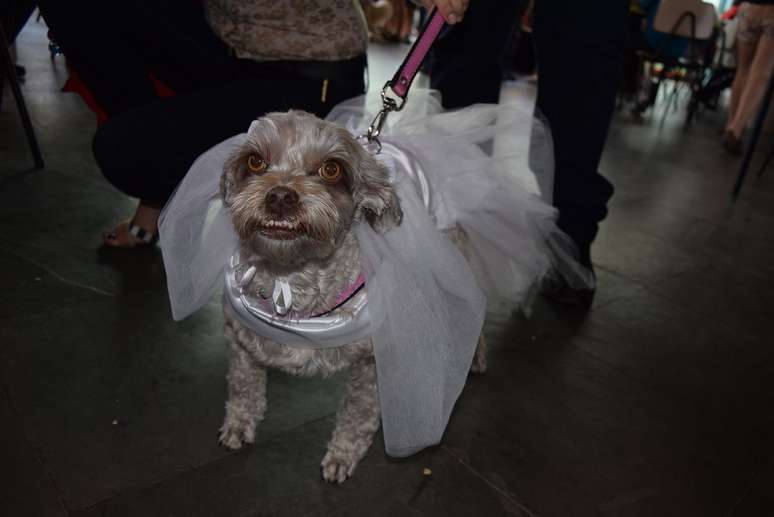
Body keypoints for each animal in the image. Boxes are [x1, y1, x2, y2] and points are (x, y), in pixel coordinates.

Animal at [217, 111, 484, 482]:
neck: (290, 280)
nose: (281, 196)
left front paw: (343, 454)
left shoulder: (372, 363)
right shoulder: (240, 337)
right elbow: (243, 385)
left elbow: (360, 413)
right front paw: (240, 423)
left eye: (332, 169)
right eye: (255, 161)